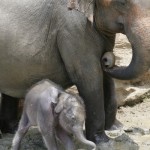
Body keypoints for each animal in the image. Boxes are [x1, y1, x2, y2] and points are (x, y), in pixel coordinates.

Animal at [0, 0, 149, 144]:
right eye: (122, 2)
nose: (106, 59)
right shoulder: (74, 28)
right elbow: (89, 76)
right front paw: (101, 141)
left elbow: (105, 77)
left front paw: (115, 128)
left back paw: (12, 129)